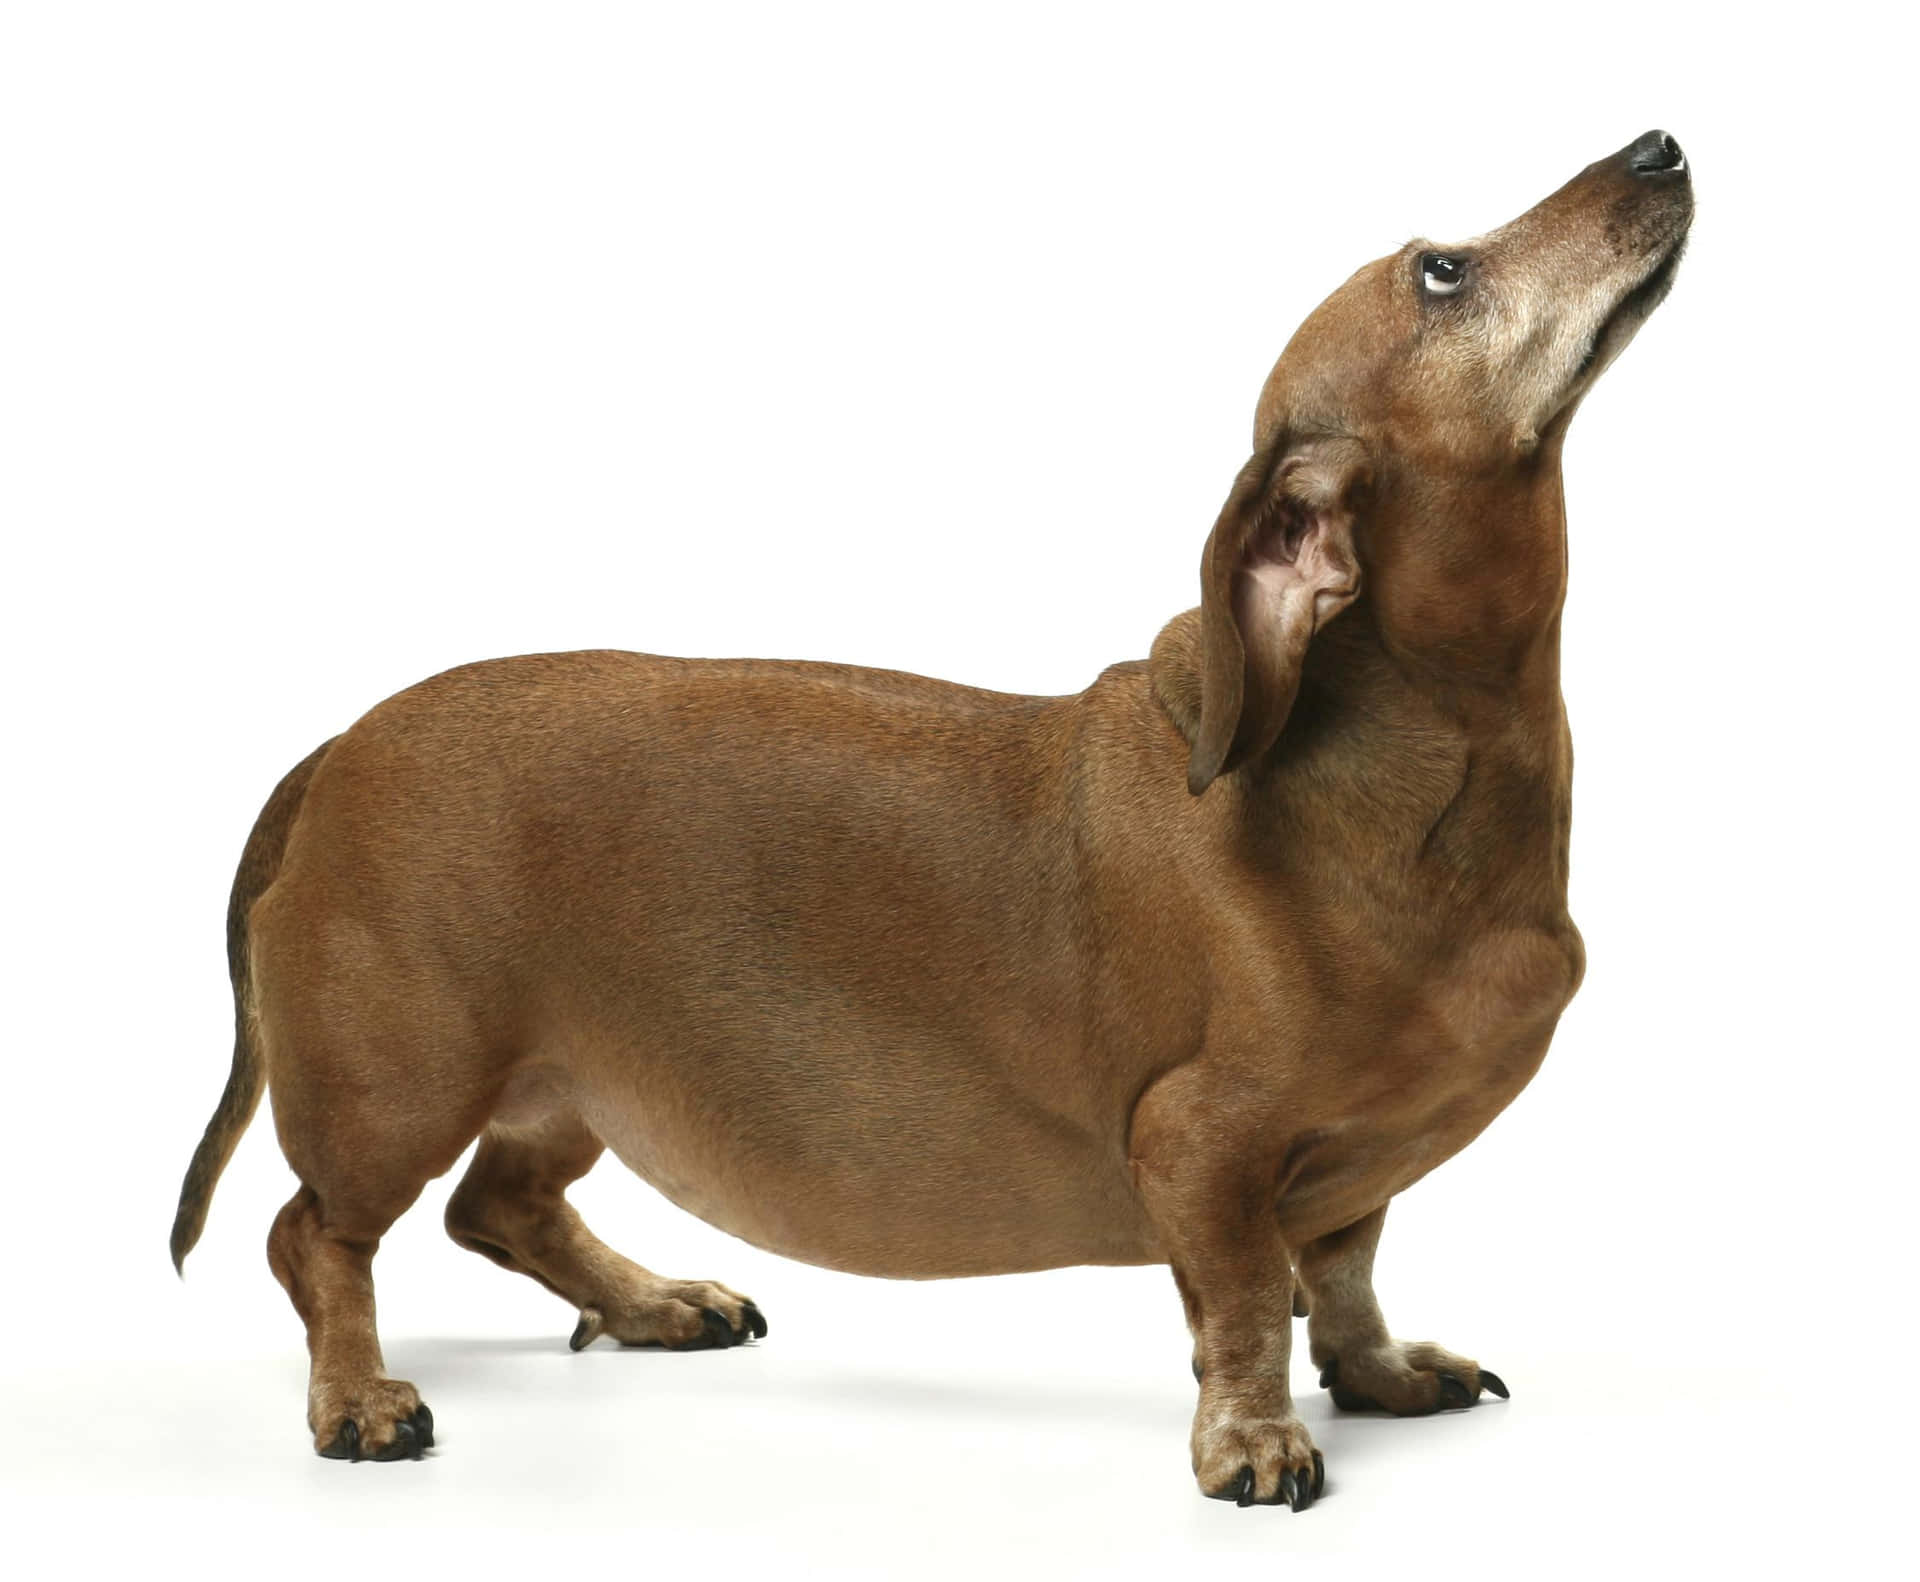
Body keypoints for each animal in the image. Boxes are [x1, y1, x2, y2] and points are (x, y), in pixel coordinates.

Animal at [172, 132, 1689, 1505]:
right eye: (1442, 271)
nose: (1661, 147)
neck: (1403, 768)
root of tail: (336, 748)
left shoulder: (1359, 1163)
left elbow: (1351, 1265)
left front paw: (1378, 1370)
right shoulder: (1199, 1142)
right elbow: (1255, 1295)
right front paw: (1253, 1439)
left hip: (572, 1076)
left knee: (498, 1201)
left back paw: (654, 1298)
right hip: (400, 1084)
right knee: (315, 1236)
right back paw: (358, 1394)